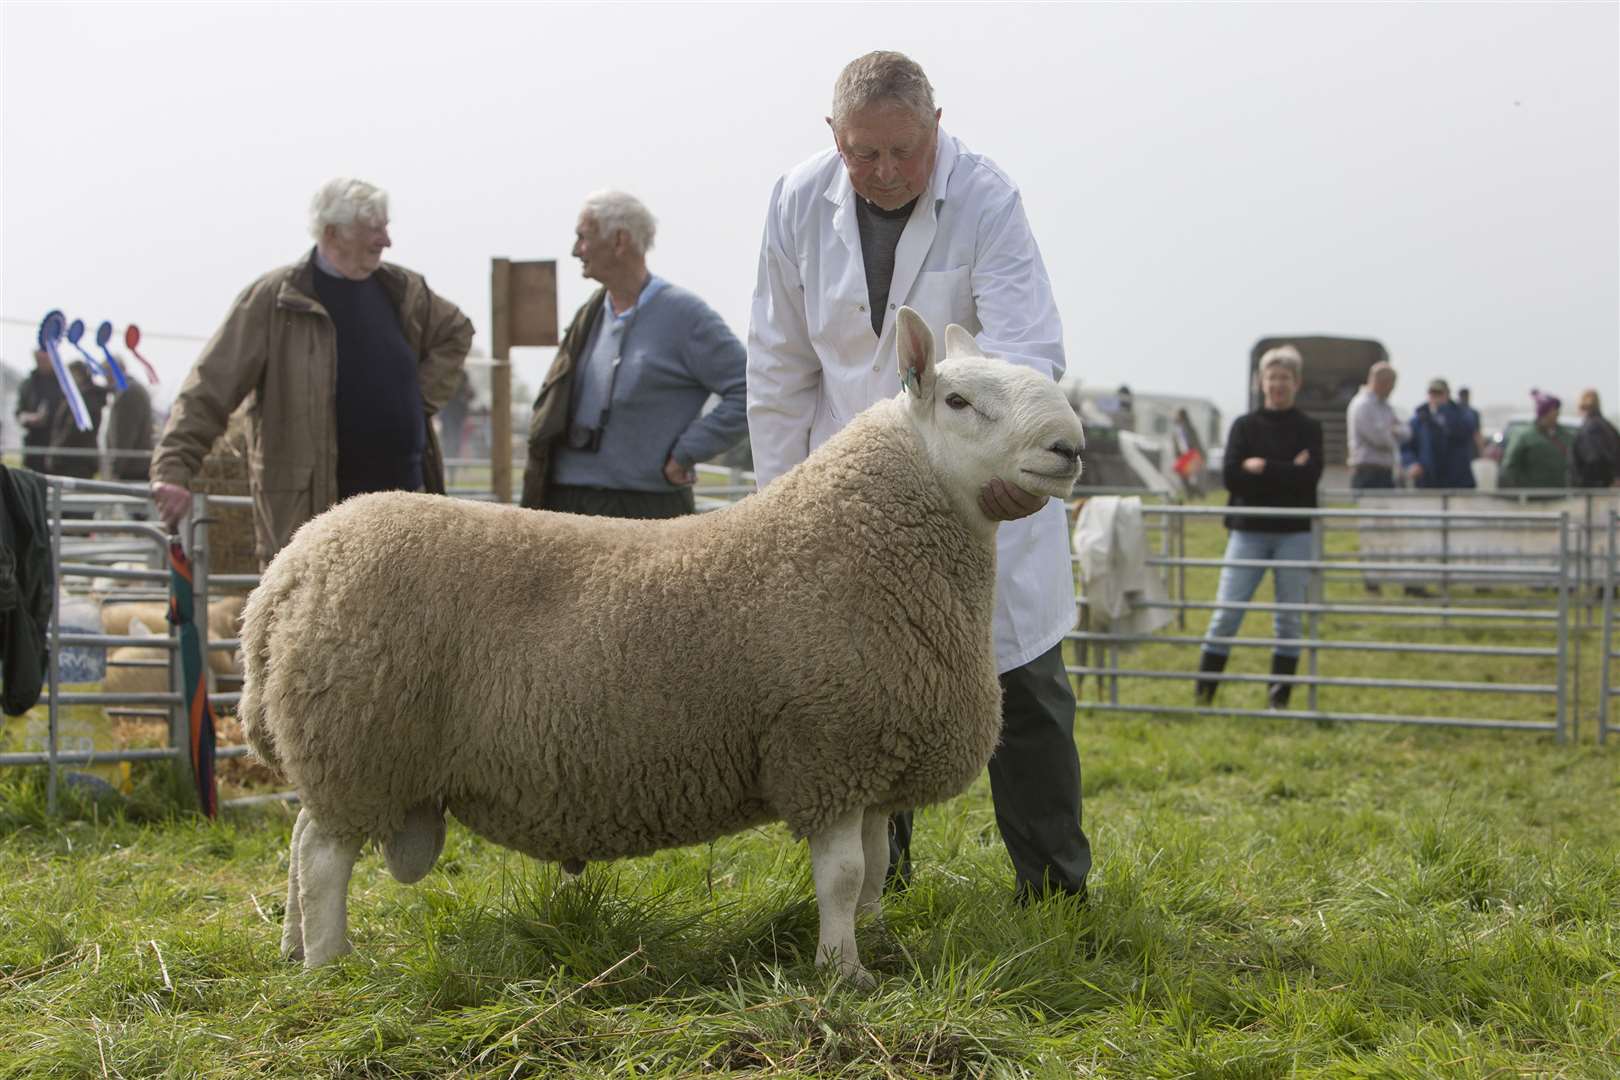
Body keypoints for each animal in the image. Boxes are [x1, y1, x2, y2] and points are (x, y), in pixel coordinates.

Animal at [239, 307, 1082, 984]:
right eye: (959, 401)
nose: (1070, 446)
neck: (869, 536)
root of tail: (283, 576)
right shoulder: (825, 750)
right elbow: (842, 877)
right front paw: (843, 974)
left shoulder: (870, 762)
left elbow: (873, 871)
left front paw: (872, 946)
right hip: (359, 744)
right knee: (323, 859)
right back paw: (329, 965)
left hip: (345, 754)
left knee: (300, 842)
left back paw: (290, 948)